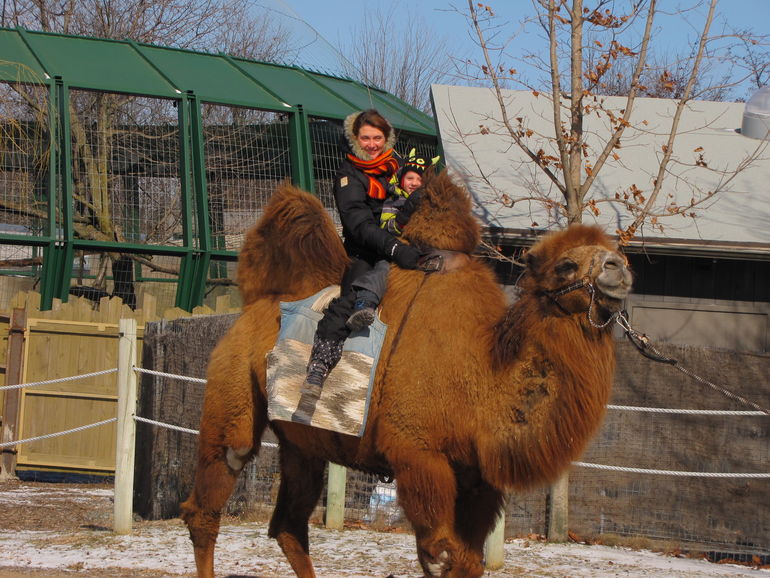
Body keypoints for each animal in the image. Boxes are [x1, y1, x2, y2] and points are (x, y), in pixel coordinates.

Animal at [178, 170, 632, 576]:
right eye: (566, 265)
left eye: (612, 250)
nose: (620, 267)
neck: (482, 379)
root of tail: (252, 304)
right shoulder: (417, 453)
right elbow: (439, 557)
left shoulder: (478, 481)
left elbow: (467, 562)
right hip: (232, 384)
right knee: (214, 487)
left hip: (301, 442)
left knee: (288, 524)